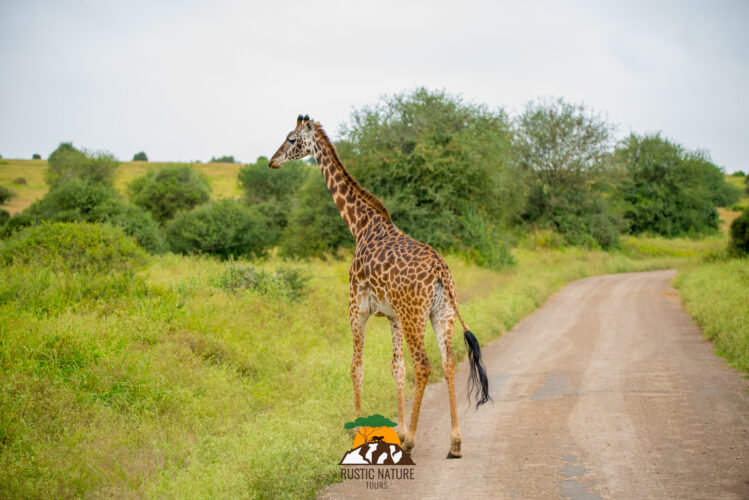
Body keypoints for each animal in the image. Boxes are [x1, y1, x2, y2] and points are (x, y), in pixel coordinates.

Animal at [270, 115, 490, 458]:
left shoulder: (356, 308)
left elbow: (356, 367)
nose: (272, 161)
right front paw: (397, 428)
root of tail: (441, 272)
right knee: (448, 361)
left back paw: (413, 441)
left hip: (415, 315)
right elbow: (396, 368)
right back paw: (454, 443)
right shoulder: (393, 316)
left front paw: (359, 430)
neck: (360, 225)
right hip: (442, 314)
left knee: (424, 365)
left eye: (292, 139)